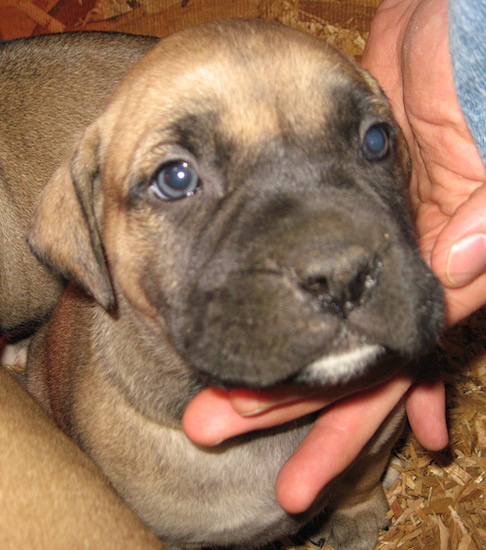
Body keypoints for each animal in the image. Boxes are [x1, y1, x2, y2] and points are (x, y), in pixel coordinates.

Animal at [22, 19, 442, 550]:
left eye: (375, 141)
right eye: (176, 178)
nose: (342, 276)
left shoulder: (376, 434)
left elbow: (360, 476)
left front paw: (357, 512)